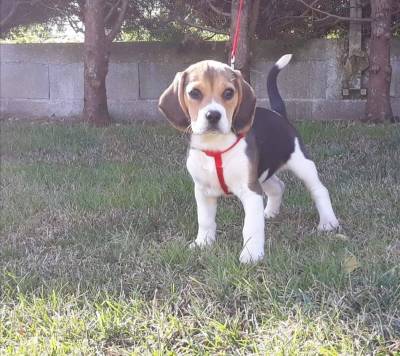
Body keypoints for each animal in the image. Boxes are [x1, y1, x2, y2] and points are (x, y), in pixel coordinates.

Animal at [158, 54, 340, 262]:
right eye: (194, 93)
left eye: (228, 93)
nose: (213, 115)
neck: (215, 146)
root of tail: (278, 113)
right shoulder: (203, 191)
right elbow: (205, 220)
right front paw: (203, 243)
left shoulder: (251, 191)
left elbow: (252, 226)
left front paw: (252, 254)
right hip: (262, 174)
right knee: (278, 186)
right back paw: (269, 212)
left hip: (302, 164)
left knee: (319, 190)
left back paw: (328, 222)